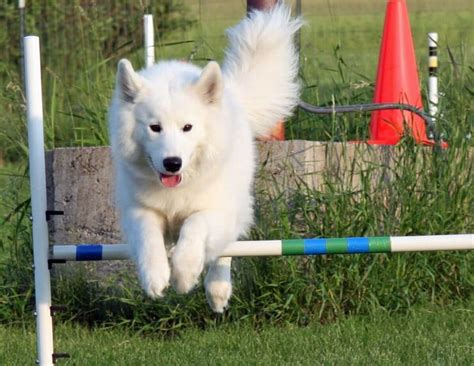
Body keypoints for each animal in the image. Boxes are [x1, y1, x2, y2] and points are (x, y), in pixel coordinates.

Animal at [108, 3, 300, 312]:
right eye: (154, 127)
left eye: (188, 127)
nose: (172, 163)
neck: (178, 187)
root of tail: (231, 93)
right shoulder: (140, 210)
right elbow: (149, 239)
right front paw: (155, 277)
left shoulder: (213, 209)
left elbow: (194, 228)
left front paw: (184, 275)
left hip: (235, 208)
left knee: (223, 251)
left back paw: (217, 290)